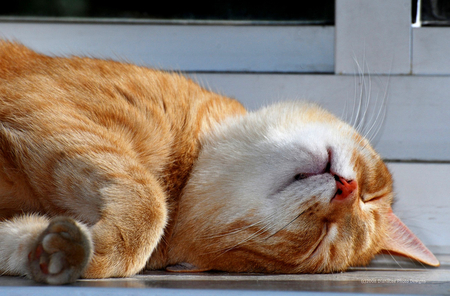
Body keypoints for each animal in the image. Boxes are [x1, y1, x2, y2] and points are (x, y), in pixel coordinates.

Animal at [0, 41, 440, 284]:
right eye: (370, 195)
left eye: (322, 240)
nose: (347, 189)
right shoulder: (48, 108)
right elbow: (149, 203)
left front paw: (64, 250)